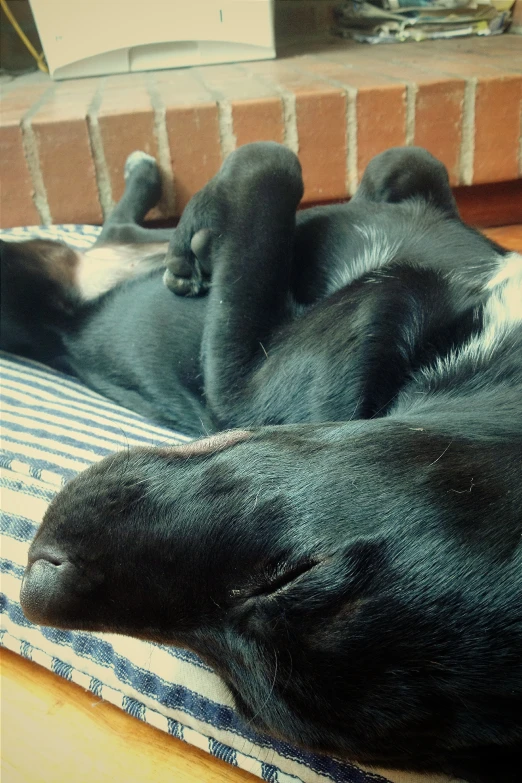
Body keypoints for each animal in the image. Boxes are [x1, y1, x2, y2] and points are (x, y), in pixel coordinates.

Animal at [4, 145, 520, 783]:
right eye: (302, 570)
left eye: (242, 700)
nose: (35, 587)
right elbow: (402, 163)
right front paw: (197, 230)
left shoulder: (238, 387)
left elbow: (267, 169)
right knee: (115, 229)